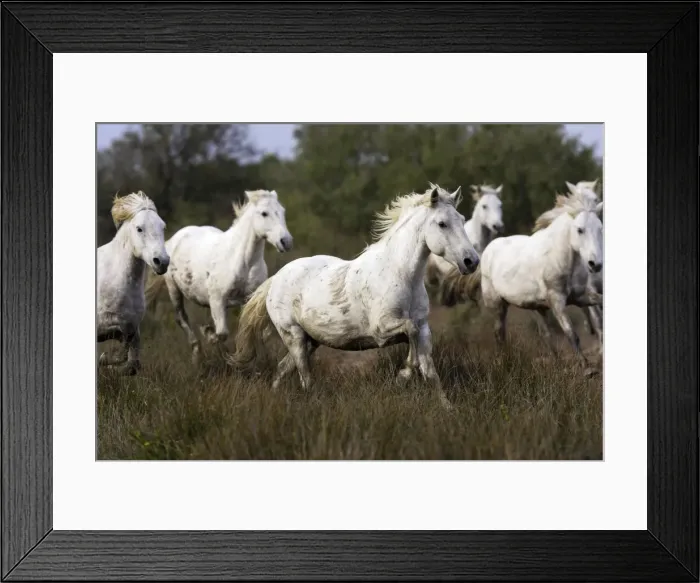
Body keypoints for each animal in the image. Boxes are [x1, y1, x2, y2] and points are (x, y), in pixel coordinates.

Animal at [97, 191, 170, 375]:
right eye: (139, 228)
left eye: (163, 227)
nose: (162, 262)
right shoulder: (107, 325)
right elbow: (120, 346)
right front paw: (103, 359)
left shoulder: (133, 328)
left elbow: (132, 365)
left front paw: (106, 363)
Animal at [145, 189, 293, 364]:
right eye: (264, 213)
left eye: (283, 211)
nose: (286, 241)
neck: (243, 261)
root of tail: (174, 239)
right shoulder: (217, 299)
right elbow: (222, 332)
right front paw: (208, 334)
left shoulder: (250, 299)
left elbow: (260, 331)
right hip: (174, 289)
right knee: (181, 318)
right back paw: (197, 353)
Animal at [228, 184, 479, 409]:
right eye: (442, 223)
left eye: (461, 219)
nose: (471, 261)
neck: (401, 275)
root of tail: (276, 279)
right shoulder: (382, 330)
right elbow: (410, 333)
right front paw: (403, 374)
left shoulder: (424, 330)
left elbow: (430, 371)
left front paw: (448, 409)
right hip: (293, 335)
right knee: (305, 376)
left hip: (311, 341)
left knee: (282, 368)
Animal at [441, 188, 603, 375]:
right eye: (580, 230)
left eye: (600, 228)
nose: (595, 264)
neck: (560, 258)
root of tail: (484, 255)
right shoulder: (557, 301)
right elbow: (571, 333)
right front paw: (587, 369)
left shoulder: (580, 296)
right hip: (498, 306)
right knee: (499, 334)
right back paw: (505, 363)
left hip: (536, 307)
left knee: (545, 335)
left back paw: (556, 363)